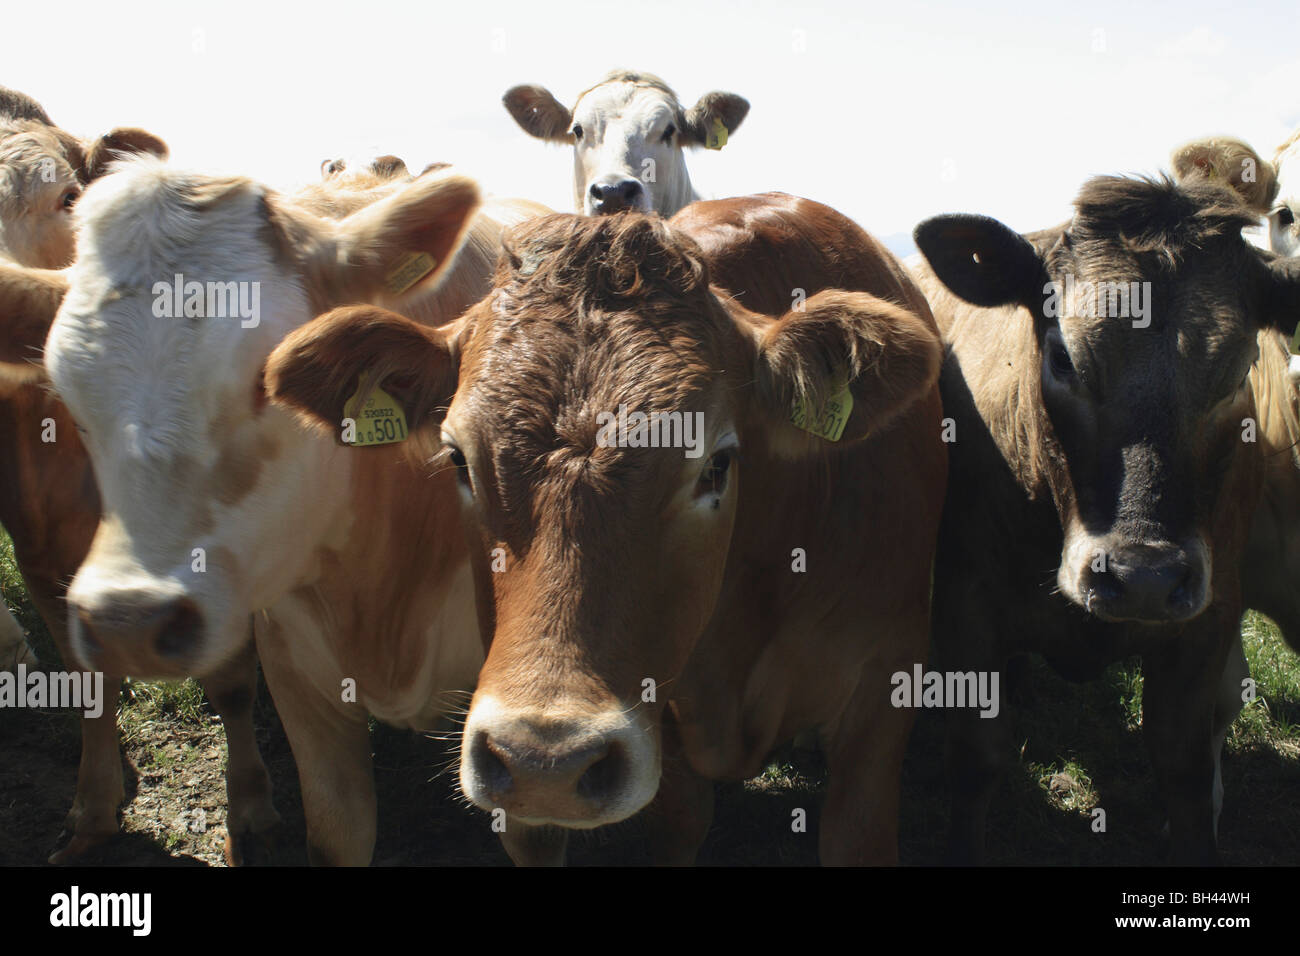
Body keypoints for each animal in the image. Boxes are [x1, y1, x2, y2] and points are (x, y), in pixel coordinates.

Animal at [909, 174, 1300, 868]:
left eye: (1239, 368)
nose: (1143, 578)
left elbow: (1186, 769)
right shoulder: (965, 602)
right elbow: (976, 760)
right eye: (1063, 357)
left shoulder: (1210, 615)